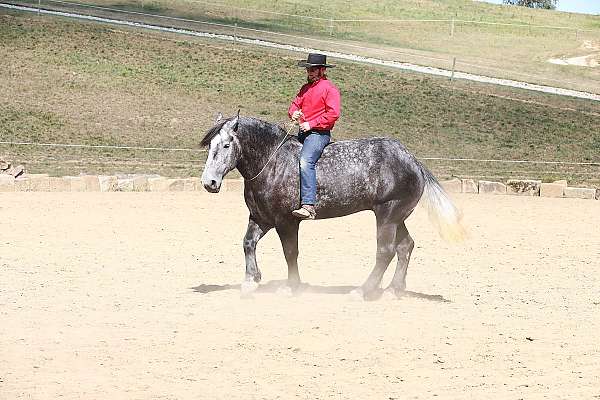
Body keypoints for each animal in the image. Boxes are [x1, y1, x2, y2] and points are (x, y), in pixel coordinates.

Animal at [202, 114, 464, 298]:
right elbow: (248, 243)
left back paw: (363, 291)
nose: (209, 182)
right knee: (405, 247)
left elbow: (290, 252)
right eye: (209, 145)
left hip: (388, 215)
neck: (273, 163)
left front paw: (291, 287)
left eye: (226, 145)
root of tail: (412, 160)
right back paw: (392, 290)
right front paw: (250, 280)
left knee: (385, 251)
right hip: (397, 217)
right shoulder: (261, 218)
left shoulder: (286, 221)